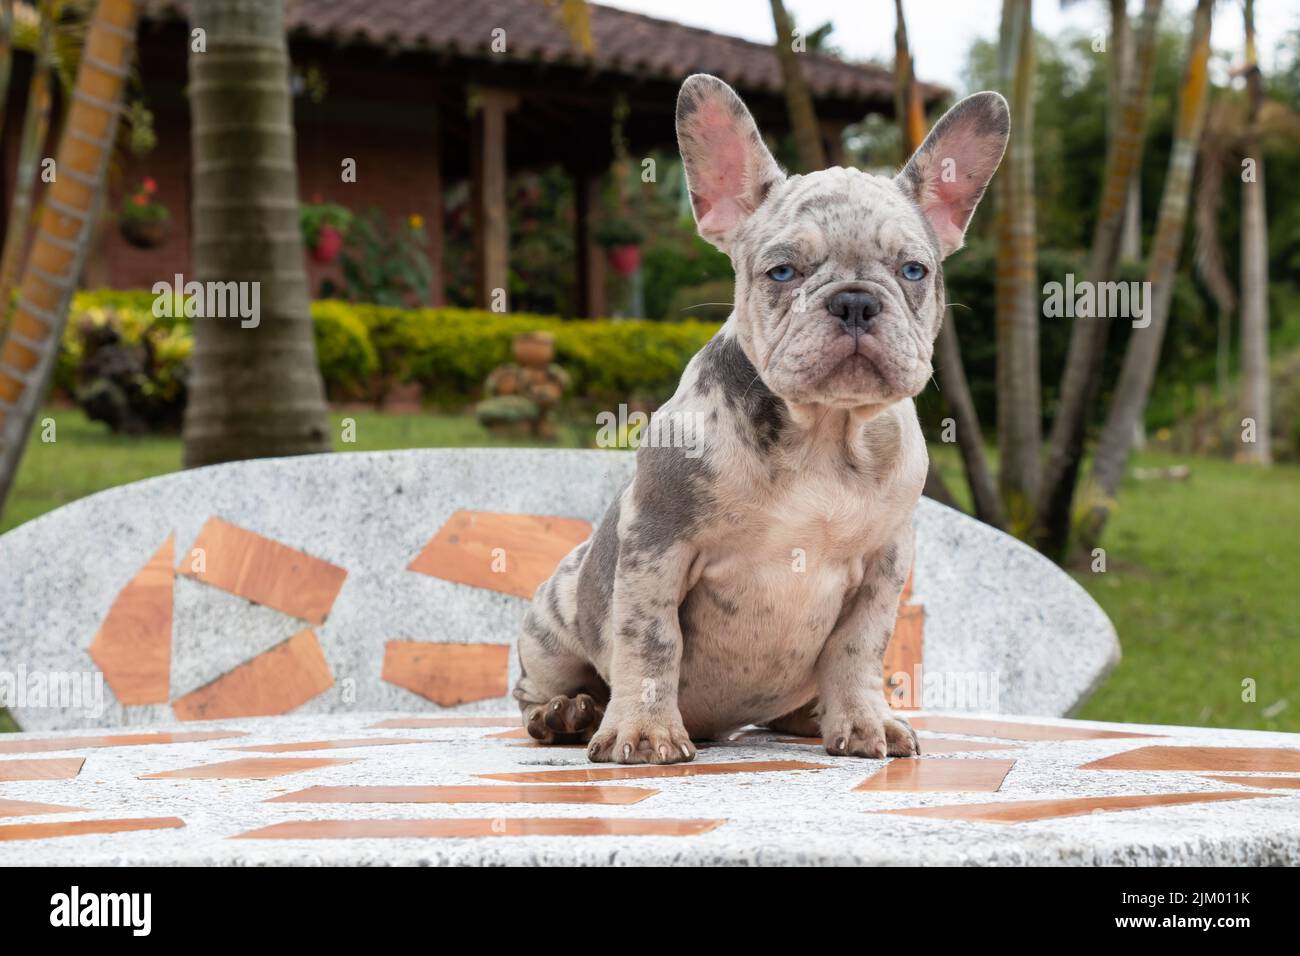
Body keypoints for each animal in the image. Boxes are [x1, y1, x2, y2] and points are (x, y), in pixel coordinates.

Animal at [512, 72, 1008, 764]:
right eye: (782, 271)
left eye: (914, 270)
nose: (855, 302)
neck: (823, 433)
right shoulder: (656, 544)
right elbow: (651, 639)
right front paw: (644, 732)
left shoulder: (885, 566)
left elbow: (858, 647)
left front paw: (865, 719)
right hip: (555, 614)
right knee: (540, 689)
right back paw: (569, 714)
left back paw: (813, 715)